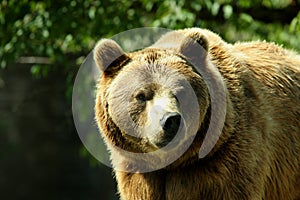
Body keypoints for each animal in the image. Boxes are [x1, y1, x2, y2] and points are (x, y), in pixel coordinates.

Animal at [92, 28, 298, 200]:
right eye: (141, 95)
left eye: (181, 91)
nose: (170, 120)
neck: (172, 162)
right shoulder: (139, 173)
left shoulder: (223, 163)